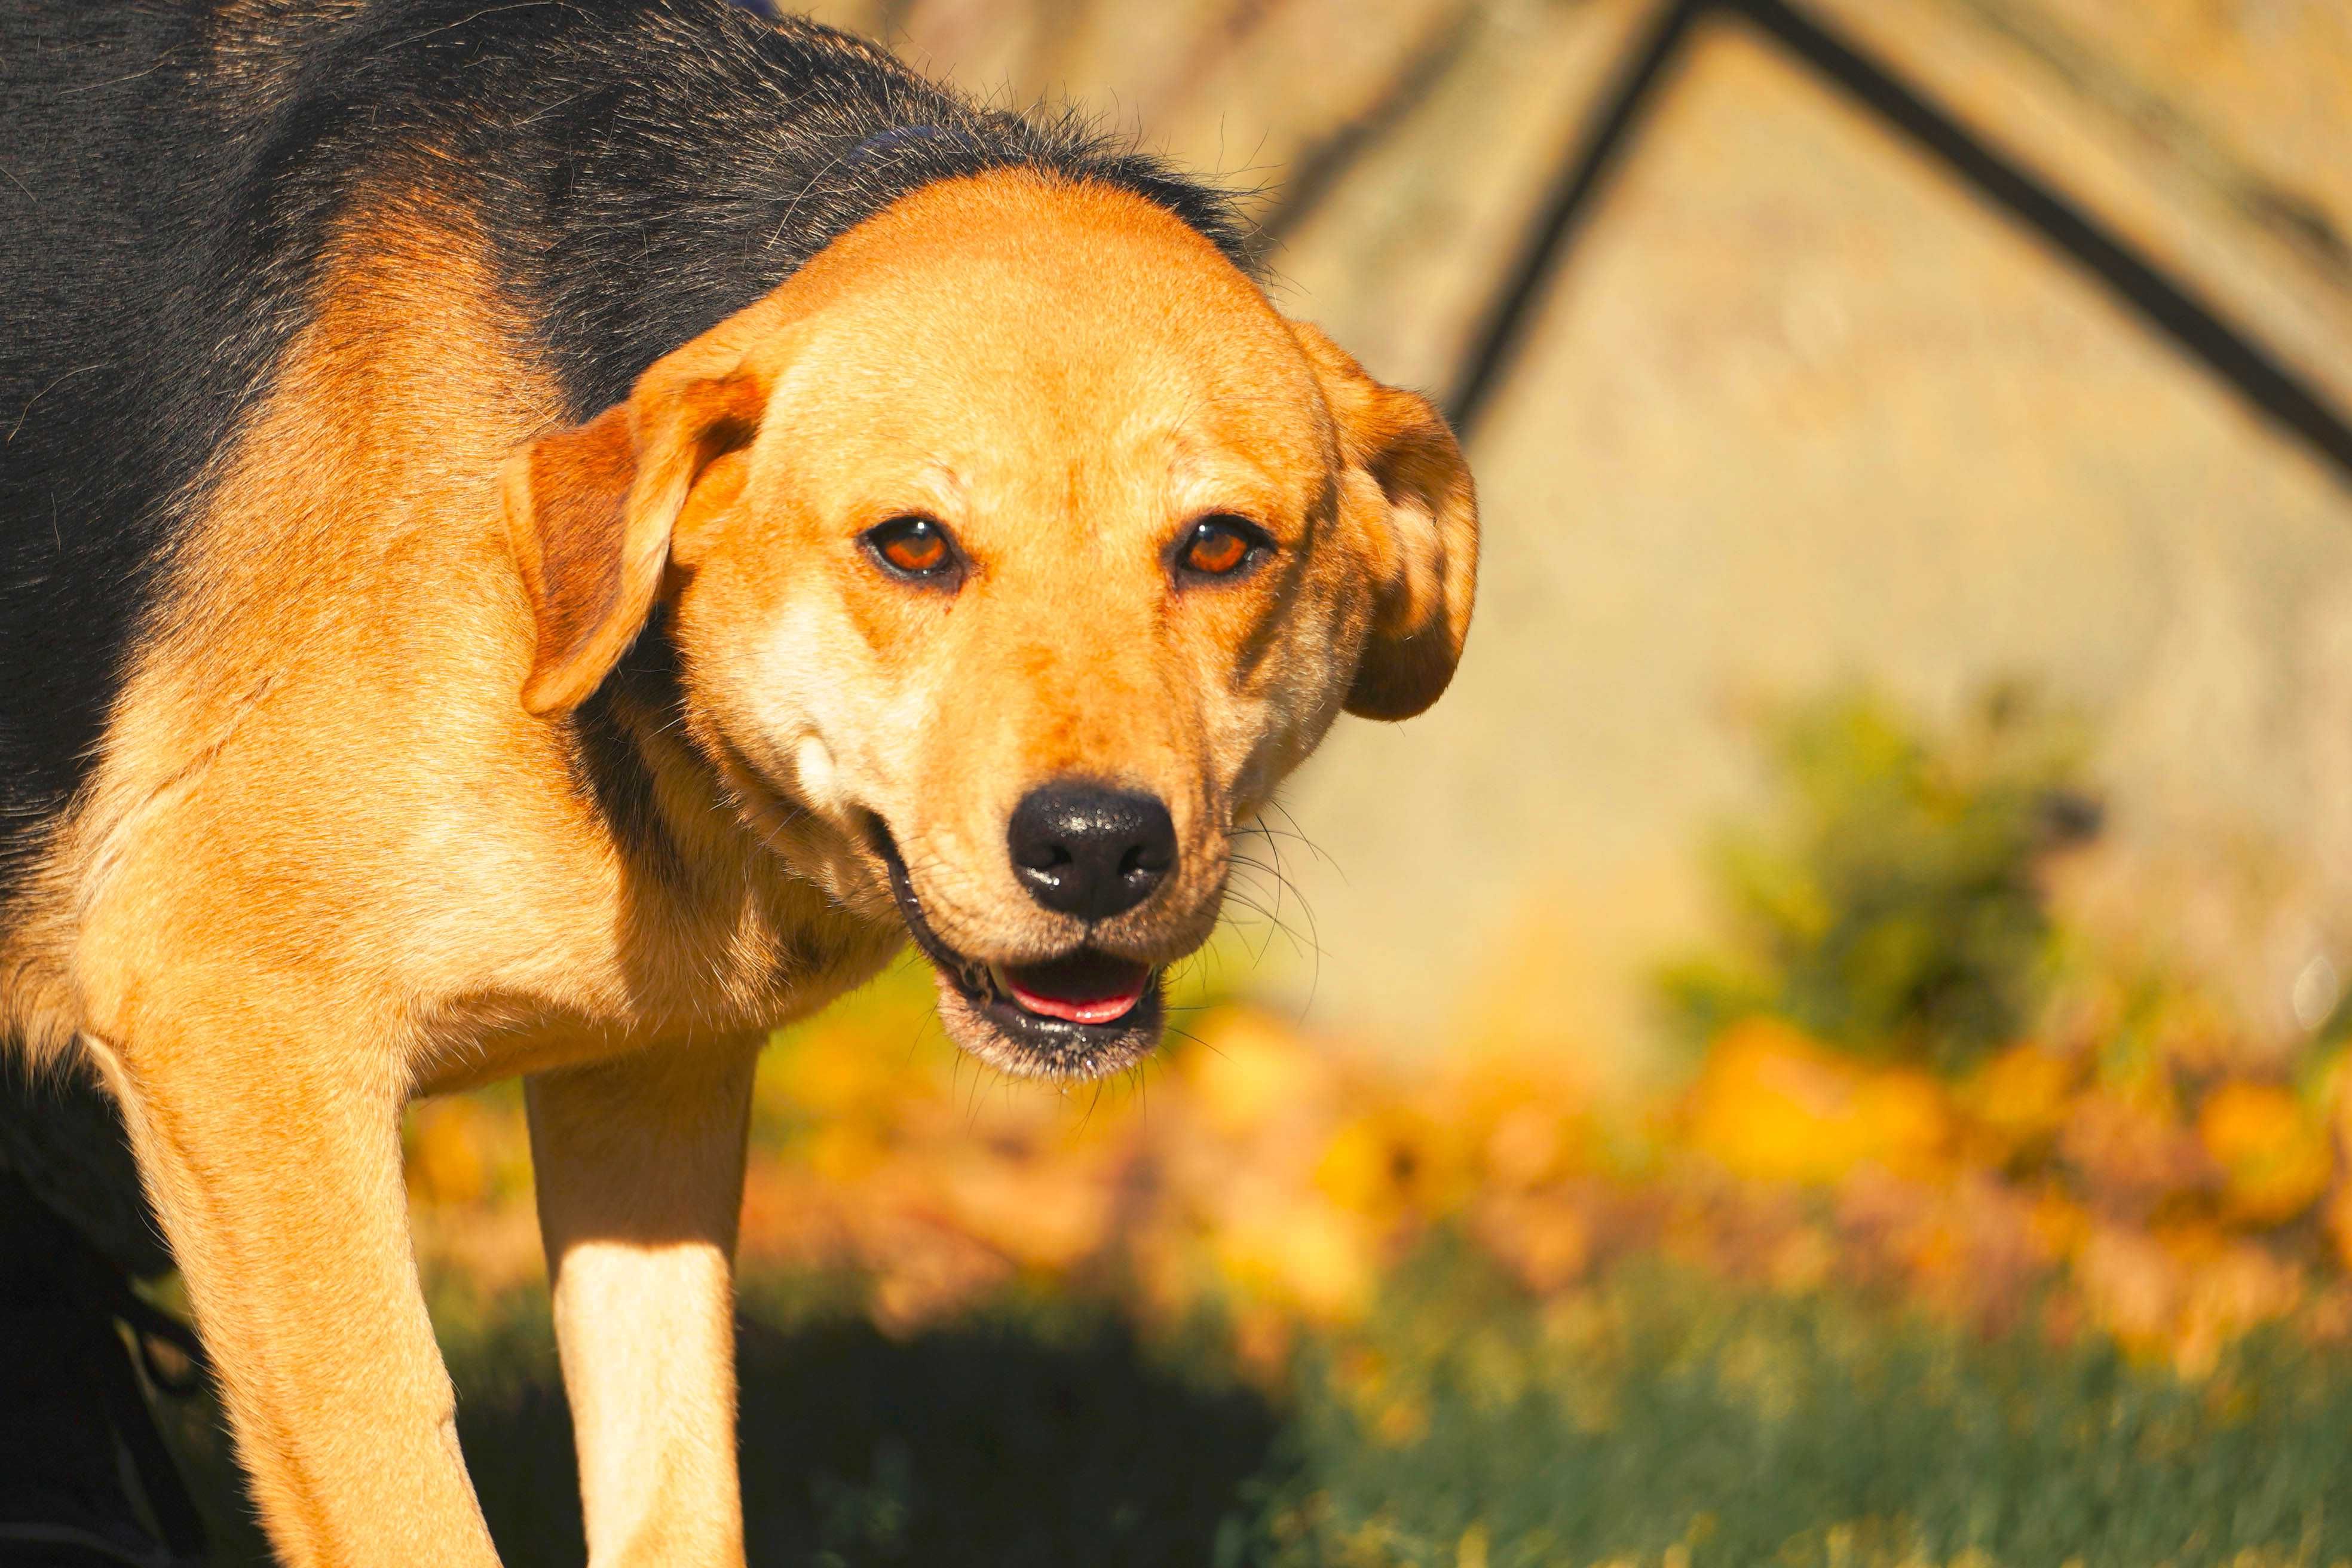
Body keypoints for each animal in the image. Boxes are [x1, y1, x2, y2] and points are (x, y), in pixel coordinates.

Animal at [0, 6, 1468, 1561]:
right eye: (912, 544)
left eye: (1219, 545)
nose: (1095, 847)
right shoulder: (231, 1010)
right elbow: (410, 1487)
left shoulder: (647, 1081)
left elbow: (678, 1491)